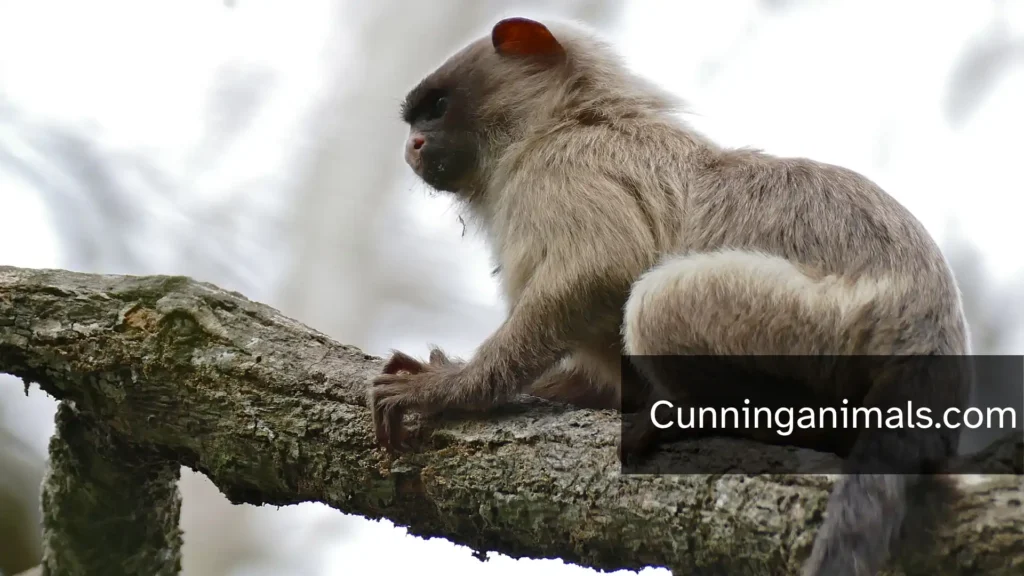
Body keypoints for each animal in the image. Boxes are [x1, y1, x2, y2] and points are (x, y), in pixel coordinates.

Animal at [370, 16, 972, 576]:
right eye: (417, 121)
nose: (412, 146)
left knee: (656, 300)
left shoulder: (564, 168)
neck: (563, 122)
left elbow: (601, 268)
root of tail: (930, 334)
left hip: (826, 323)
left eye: (437, 108)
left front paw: (456, 388)